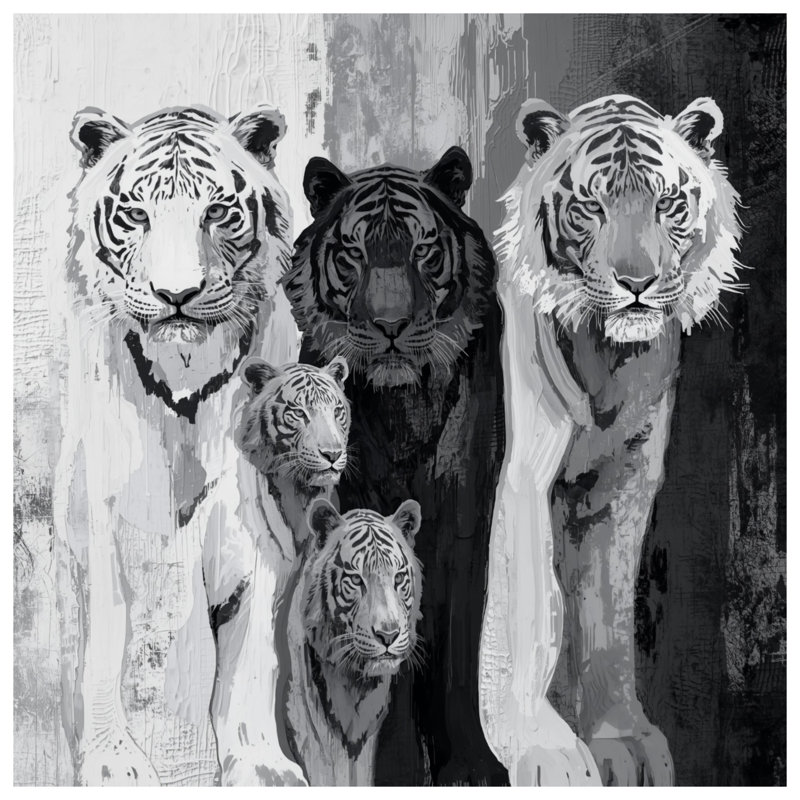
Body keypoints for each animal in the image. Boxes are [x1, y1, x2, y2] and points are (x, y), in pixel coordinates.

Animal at [53, 103, 306, 786]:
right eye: (137, 214)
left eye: (217, 212)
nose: (177, 295)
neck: (186, 379)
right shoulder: (103, 525)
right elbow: (107, 641)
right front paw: (113, 763)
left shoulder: (260, 535)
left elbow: (251, 663)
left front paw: (262, 763)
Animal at [282, 497, 423, 785]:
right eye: (356, 579)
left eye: (398, 578)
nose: (388, 634)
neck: (355, 682)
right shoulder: (313, 727)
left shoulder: (370, 731)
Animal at [479, 94, 745, 786]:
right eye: (591, 207)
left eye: (666, 204)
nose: (637, 283)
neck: (609, 356)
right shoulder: (526, 473)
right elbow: (526, 610)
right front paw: (542, 750)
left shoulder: (621, 483)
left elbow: (607, 614)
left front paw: (621, 740)